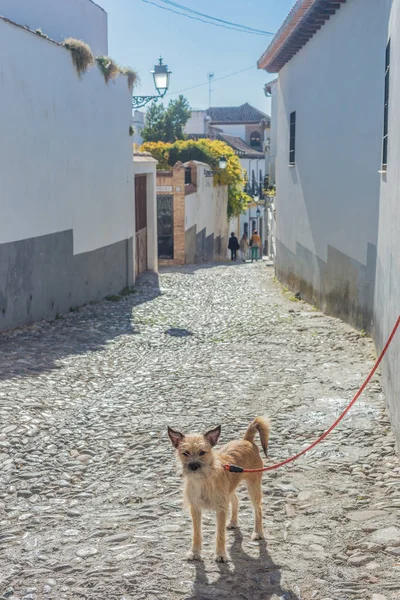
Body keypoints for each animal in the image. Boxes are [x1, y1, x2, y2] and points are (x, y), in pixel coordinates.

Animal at [167, 418, 270, 564]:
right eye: (185, 453)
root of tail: (247, 440)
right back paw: (233, 522)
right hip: (230, 488)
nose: (193, 466)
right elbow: (196, 533)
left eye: (202, 452)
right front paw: (195, 552)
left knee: (258, 509)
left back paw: (258, 532)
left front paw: (220, 554)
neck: (204, 480)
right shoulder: (196, 509)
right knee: (236, 500)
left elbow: (220, 534)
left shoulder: (221, 509)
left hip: (253, 486)